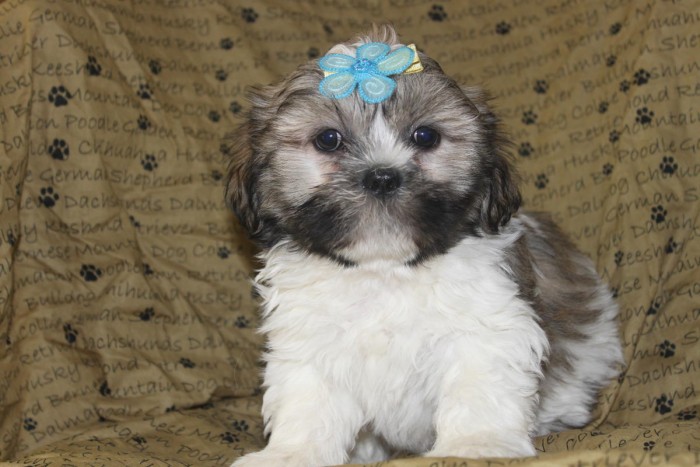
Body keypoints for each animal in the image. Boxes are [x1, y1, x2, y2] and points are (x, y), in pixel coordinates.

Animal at [226, 26, 624, 467]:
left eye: (426, 136)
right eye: (328, 139)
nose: (382, 176)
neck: (384, 268)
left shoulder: (487, 327)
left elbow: (477, 385)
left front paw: (476, 444)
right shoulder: (311, 339)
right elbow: (309, 399)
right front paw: (291, 452)